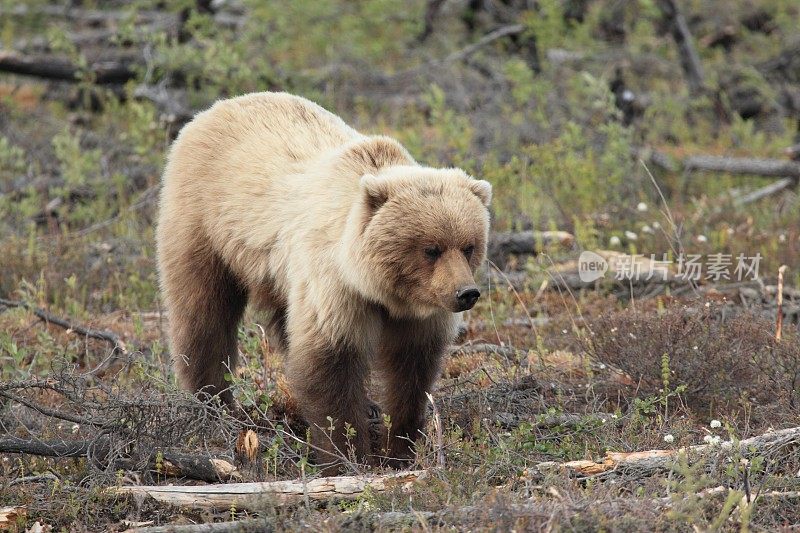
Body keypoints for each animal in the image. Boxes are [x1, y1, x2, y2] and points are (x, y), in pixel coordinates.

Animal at [157, 92, 490, 470]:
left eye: (469, 245)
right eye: (431, 249)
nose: (466, 293)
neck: (381, 289)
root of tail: (214, 108)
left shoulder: (422, 313)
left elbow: (411, 371)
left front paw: (399, 448)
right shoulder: (333, 286)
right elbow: (330, 365)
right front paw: (348, 454)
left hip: (276, 276)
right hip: (204, 223)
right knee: (204, 314)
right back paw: (213, 401)